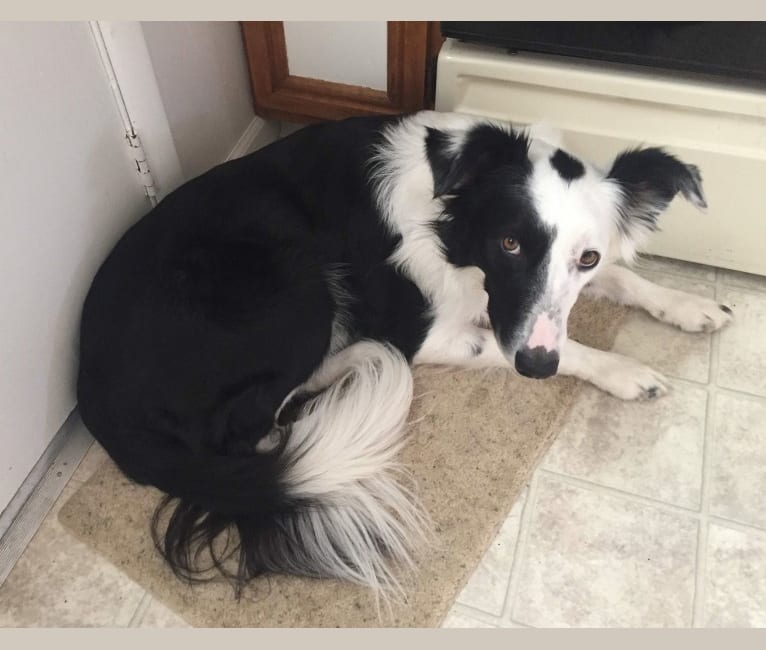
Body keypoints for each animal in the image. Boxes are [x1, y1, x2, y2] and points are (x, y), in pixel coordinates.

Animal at [78, 110, 732, 596]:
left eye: (586, 257)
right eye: (510, 243)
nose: (535, 368)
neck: (448, 220)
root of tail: (91, 396)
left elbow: (617, 283)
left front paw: (688, 305)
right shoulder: (434, 331)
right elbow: (560, 347)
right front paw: (624, 370)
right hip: (298, 284)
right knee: (260, 420)